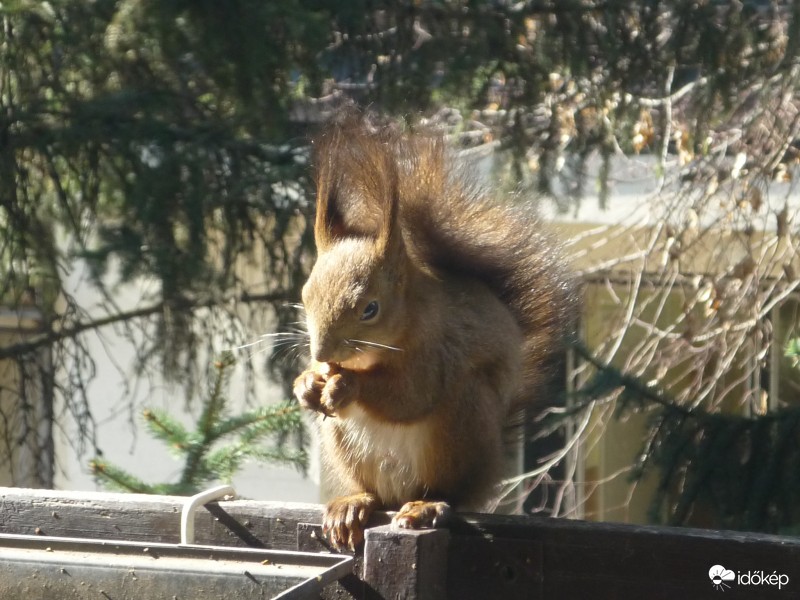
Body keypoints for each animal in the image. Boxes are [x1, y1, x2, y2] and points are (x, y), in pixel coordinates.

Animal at [294, 110, 576, 552]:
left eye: (370, 308)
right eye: (305, 294)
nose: (323, 354)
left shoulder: (437, 351)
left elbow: (410, 395)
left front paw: (347, 386)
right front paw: (307, 383)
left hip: (459, 424)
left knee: (450, 494)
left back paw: (426, 507)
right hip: (345, 446)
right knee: (373, 494)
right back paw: (352, 504)